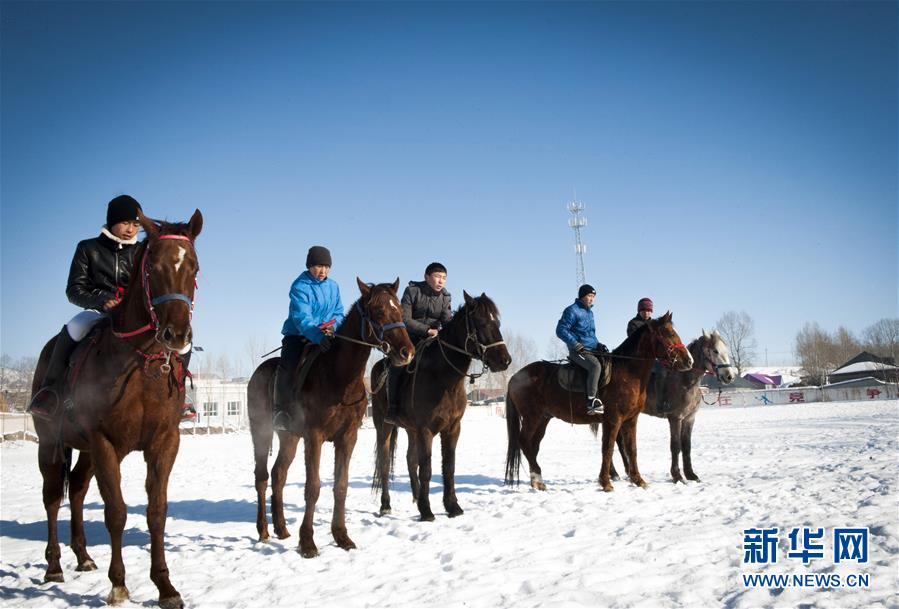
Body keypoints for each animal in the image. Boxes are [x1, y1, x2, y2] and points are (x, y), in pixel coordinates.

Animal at [31, 209, 202, 608]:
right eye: (153, 267)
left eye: (194, 267)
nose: (176, 335)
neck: (141, 366)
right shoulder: (105, 442)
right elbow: (117, 512)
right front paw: (119, 583)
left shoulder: (164, 442)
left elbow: (156, 512)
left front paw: (165, 587)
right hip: (51, 443)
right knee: (52, 497)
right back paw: (54, 567)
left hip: (85, 451)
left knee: (77, 489)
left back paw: (83, 556)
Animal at [246, 278, 414, 560]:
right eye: (379, 311)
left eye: (401, 311)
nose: (406, 352)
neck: (339, 377)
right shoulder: (314, 437)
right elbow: (313, 487)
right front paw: (308, 542)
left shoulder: (347, 437)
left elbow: (341, 486)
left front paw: (341, 536)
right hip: (261, 432)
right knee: (262, 477)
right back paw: (264, 530)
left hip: (289, 437)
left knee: (279, 474)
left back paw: (281, 528)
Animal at [370, 292, 512, 520]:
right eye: (482, 323)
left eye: (497, 322)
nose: (504, 360)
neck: (443, 378)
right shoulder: (425, 430)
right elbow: (427, 469)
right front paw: (427, 511)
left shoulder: (452, 428)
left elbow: (448, 467)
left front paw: (452, 506)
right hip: (384, 426)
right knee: (384, 463)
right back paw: (385, 505)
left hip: (410, 430)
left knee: (410, 460)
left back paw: (416, 497)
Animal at [506, 312, 688, 492]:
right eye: (669, 333)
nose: (689, 361)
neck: (627, 372)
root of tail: (515, 377)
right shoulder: (613, 420)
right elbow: (608, 448)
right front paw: (606, 482)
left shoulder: (630, 420)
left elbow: (632, 449)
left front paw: (638, 480)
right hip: (532, 417)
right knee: (524, 442)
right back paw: (537, 477)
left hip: (543, 418)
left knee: (532, 445)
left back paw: (537, 481)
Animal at [620, 330, 740, 482]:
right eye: (715, 351)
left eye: (726, 350)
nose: (729, 376)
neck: (684, 380)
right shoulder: (675, 418)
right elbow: (676, 446)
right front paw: (677, 475)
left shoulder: (689, 418)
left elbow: (687, 446)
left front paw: (690, 474)